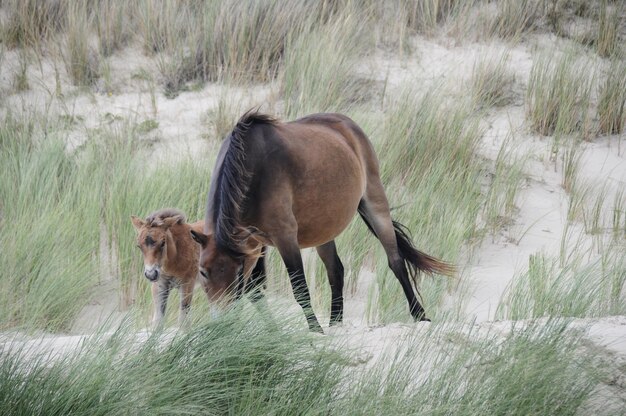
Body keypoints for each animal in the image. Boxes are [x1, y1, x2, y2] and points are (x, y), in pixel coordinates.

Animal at [190, 109, 454, 332]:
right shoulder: (254, 245)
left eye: (235, 271)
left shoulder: (284, 237)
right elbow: (254, 290)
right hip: (324, 230)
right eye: (202, 272)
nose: (221, 322)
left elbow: (299, 288)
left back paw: (420, 316)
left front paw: (314, 331)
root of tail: (346, 123)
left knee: (396, 261)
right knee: (336, 270)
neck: (251, 166)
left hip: (376, 204)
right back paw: (335, 323)